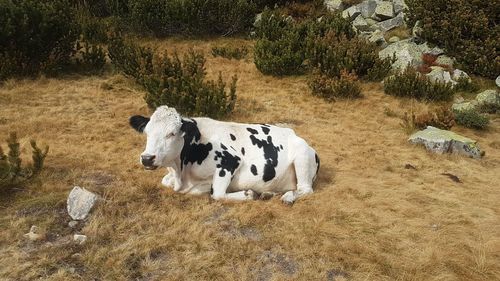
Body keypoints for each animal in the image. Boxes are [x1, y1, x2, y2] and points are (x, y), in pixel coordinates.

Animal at [130, 106, 320, 202]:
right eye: (146, 132)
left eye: (172, 133)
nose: (147, 158)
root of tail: (293, 133)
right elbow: (167, 182)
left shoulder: (230, 161)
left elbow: (218, 194)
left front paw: (248, 194)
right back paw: (269, 194)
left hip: (302, 158)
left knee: (305, 189)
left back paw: (286, 197)